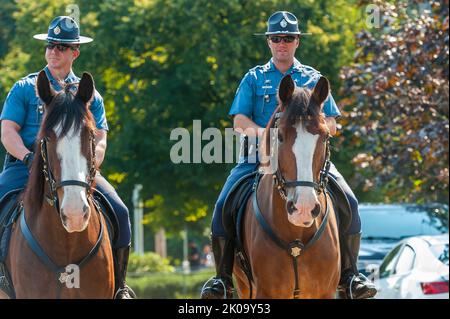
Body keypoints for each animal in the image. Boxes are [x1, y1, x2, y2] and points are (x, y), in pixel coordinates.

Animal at [234, 75, 340, 300]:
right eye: (280, 136)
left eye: (325, 136)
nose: (303, 208)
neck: (296, 235)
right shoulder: (264, 292)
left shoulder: (325, 292)